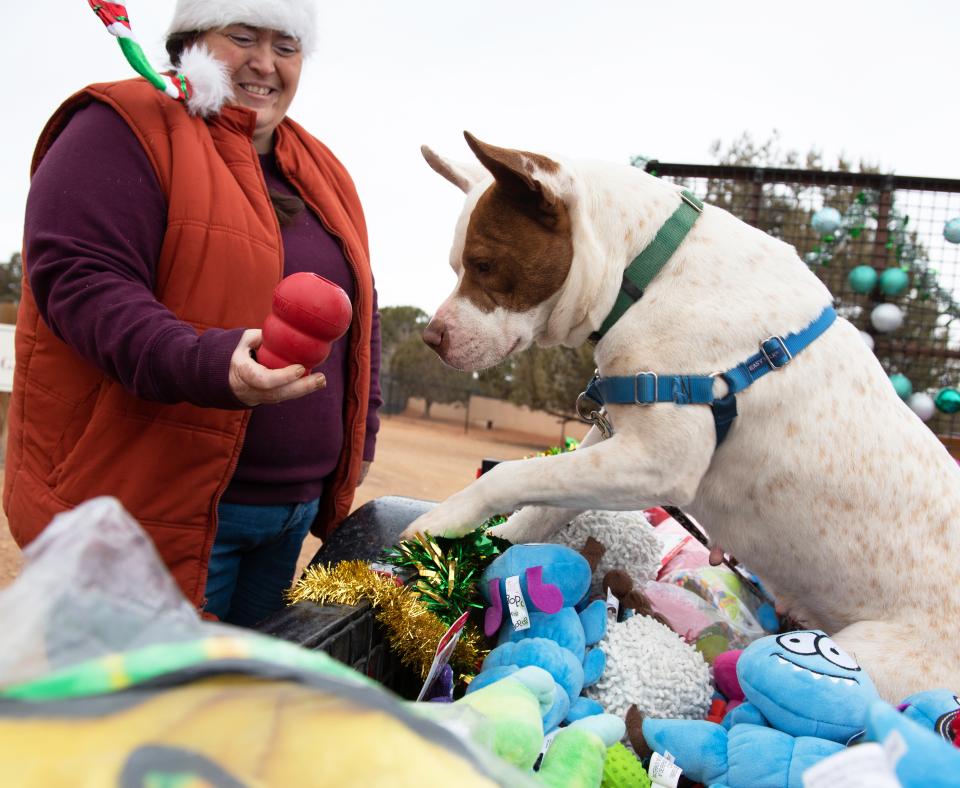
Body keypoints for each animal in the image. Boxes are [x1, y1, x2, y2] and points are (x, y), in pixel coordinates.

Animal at [402, 131, 960, 700]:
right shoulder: (614, 441)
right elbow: (542, 501)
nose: (432, 338)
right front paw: (482, 551)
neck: (649, 268)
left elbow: (510, 473)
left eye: (484, 264)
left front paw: (441, 523)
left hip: (872, 662)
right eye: (457, 266)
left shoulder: (660, 460)